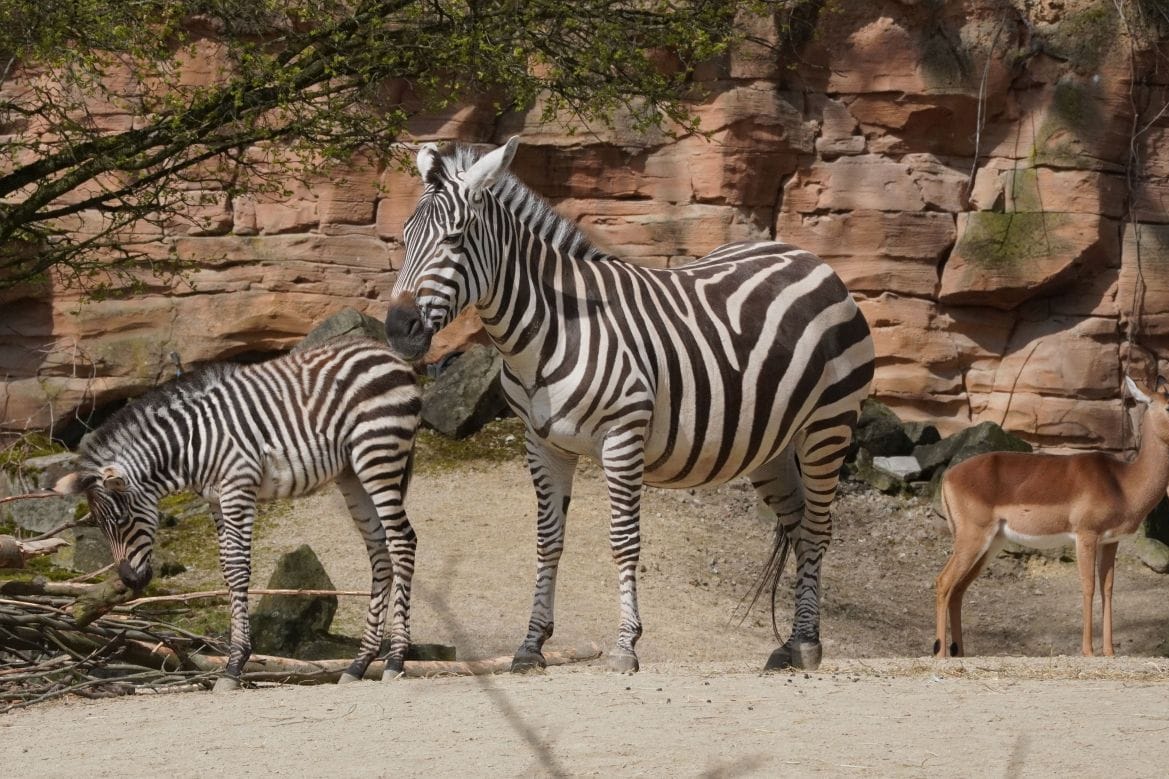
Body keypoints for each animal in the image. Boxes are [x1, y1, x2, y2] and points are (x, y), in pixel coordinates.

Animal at [55, 336, 420, 687]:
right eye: (100, 526)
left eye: (122, 520)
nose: (131, 581)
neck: (191, 444)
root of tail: (386, 353)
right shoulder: (216, 499)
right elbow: (228, 570)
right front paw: (234, 660)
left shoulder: (237, 488)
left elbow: (239, 567)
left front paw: (235, 665)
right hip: (352, 471)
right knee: (379, 549)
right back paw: (360, 663)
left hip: (378, 454)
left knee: (402, 542)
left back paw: (395, 660)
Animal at [388, 136, 874, 669]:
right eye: (404, 238)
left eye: (455, 239)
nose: (398, 328)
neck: (552, 331)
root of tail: (808, 256)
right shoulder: (542, 445)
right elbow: (548, 541)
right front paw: (532, 644)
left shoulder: (622, 437)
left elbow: (623, 542)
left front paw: (625, 644)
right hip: (772, 445)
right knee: (798, 524)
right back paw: (791, 643)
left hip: (828, 425)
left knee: (818, 528)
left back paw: (807, 642)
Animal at [930, 374, 1169, 655]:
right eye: (1168, 406)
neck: (1122, 483)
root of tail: (948, 476)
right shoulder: (1086, 535)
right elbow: (1088, 586)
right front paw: (1088, 651)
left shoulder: (1110, 541)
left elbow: (1107, 588)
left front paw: (1109, 652)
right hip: (972, 539)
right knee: (943, 582)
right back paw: (940, 653)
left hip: (990, 544)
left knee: (958, 590)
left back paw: (960, 653)